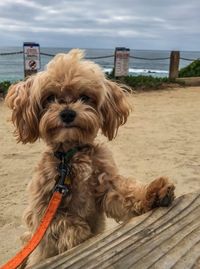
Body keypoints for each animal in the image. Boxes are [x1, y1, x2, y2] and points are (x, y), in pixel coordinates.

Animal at [5, 48, 175, 266]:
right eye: (50, 98)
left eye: (85, 97)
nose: (67, 113)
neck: (71, 157)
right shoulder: (44, 207)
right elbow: (63, 223)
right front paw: (80, 235)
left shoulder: (106, 186)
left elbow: (125, 194)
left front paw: (154, 193)